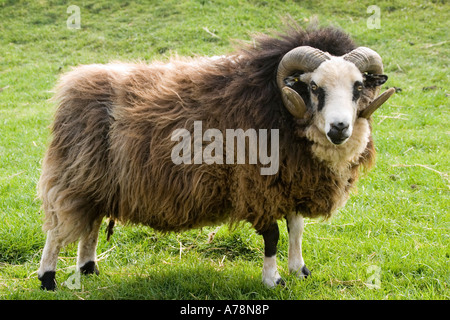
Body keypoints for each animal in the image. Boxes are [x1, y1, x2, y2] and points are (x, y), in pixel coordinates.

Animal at [37, 24, 392, 290]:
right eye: (314, 87)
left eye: (358, 87)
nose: (340, 127)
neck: (273, 103)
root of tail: (74, 82)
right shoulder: (255, 186)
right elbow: (273, 235)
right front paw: (273, 280)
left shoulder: (289, 179)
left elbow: (296, 227)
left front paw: (298, 270)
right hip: (74, 173)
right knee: (58, 228)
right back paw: (48, 278)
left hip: (99, 182)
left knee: (92, 224)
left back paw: (89, 269)